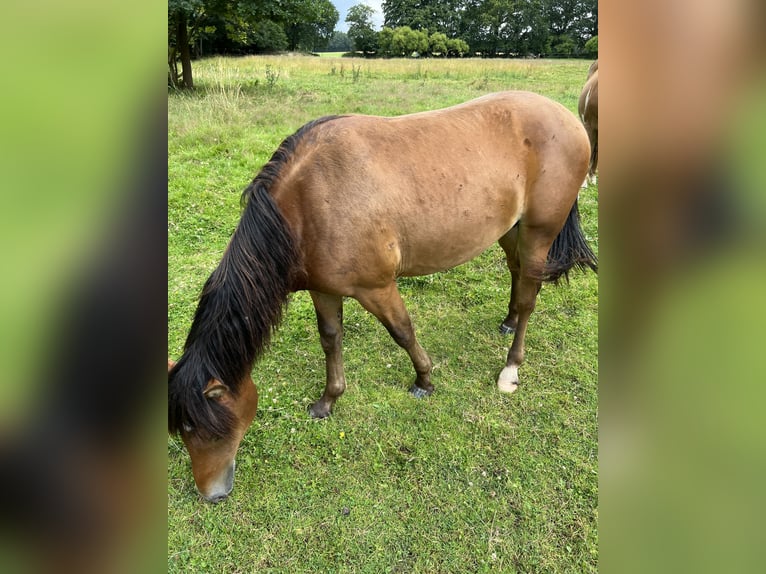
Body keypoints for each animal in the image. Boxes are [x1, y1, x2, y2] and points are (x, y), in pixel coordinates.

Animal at [168, 91, 600, 504]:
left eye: (200, 427)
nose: (210, 495)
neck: (307, 203)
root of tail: (567, 118)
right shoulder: (323, 289)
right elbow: (330, 339)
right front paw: (328, 400)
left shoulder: (376, 287)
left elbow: (402, 331)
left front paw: (424, 379)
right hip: (511, 228)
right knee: (515, 273)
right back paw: (507, 321)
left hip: (540, 232)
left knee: (529, 296)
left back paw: (510, 367)